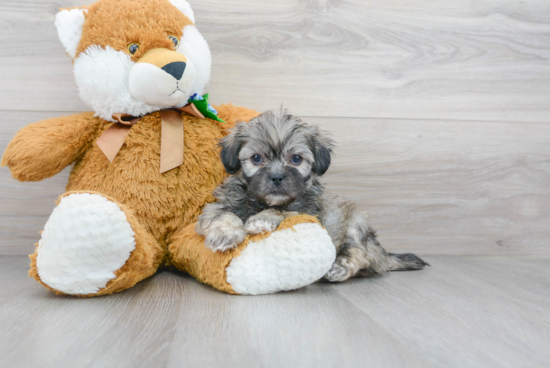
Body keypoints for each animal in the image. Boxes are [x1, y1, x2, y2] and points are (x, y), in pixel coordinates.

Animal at [195, 109, 432, 282]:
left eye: (296, 159)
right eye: (256, 158)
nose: (277, 177)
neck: (261, 201)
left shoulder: (307, 212)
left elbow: (281, 211)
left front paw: (262, 219)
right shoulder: (219, 205)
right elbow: (224, 215)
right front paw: (224, 235)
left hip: (356, 225)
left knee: (360, 254)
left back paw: (339, 269)